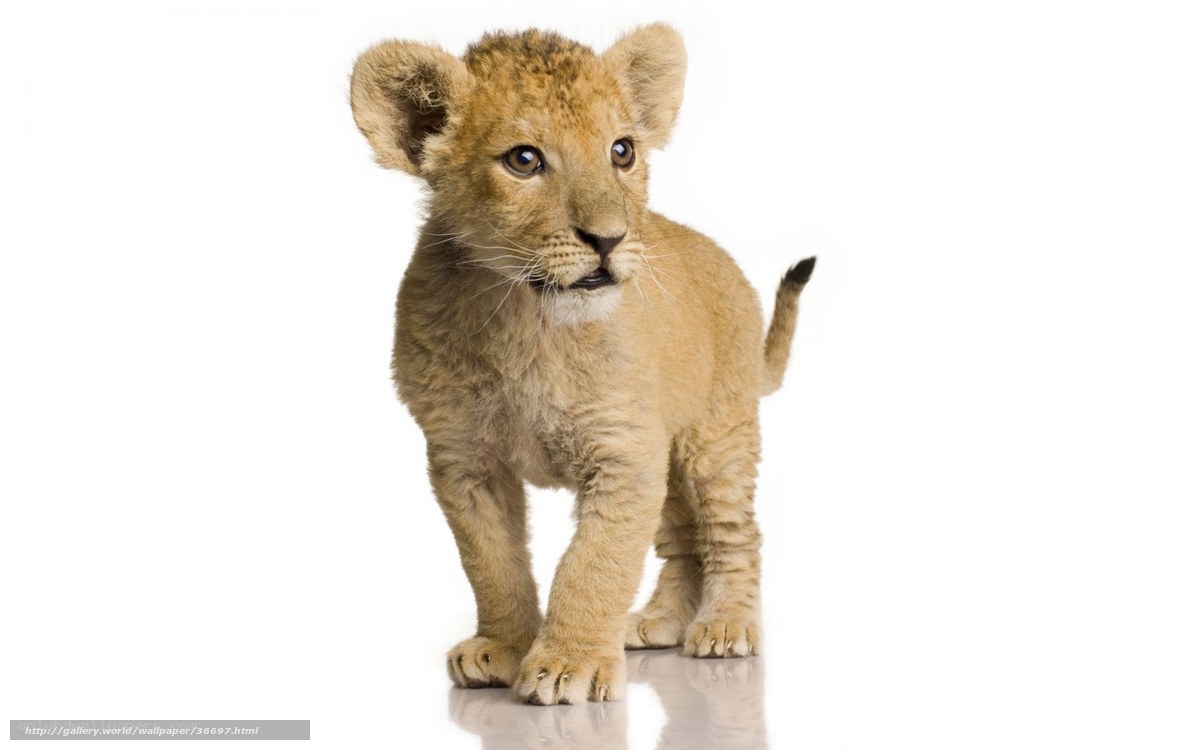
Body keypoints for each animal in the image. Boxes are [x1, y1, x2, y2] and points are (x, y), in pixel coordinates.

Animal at [350, 24, 815, 705]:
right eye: (524, 160)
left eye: (622, 151)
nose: (609, 239)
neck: (526, 318)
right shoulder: (463, 457)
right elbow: (492, 562)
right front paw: (504, 647)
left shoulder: (624, 451)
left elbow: (595, 562)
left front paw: (570, 664)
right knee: (682, 540)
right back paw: (658, 622)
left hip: (716, 434)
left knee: (732, 532)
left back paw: (726, 626)